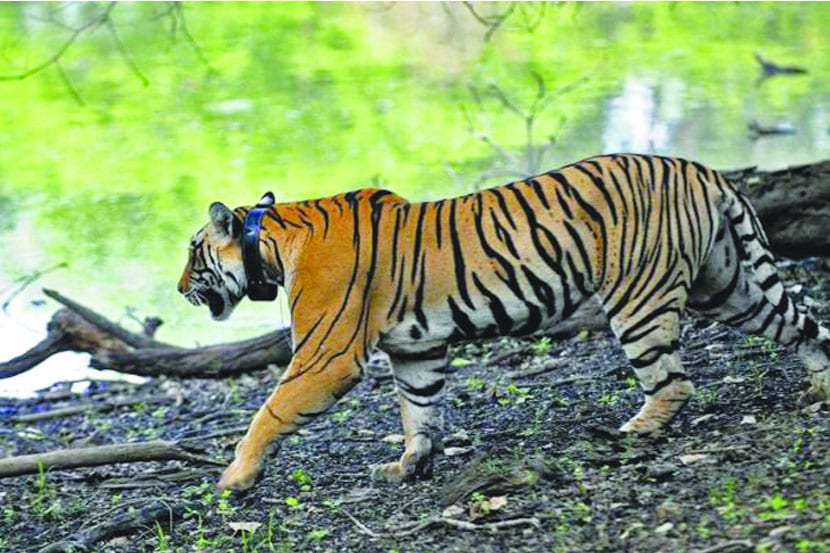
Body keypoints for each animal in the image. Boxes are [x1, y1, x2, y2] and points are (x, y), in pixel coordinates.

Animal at [178, 153, 830, 491]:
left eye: (191, 252)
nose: (181, 289)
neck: (272, 240)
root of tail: (704, 169)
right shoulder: (417, 349)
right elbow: (419, 410)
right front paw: (409, 465)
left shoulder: (326, 354)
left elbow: (269, 411)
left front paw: (234, 476)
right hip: (726, 285)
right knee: (803, 322)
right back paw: (820, 388)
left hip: (640, 298)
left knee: (674, 382)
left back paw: (632, 431)